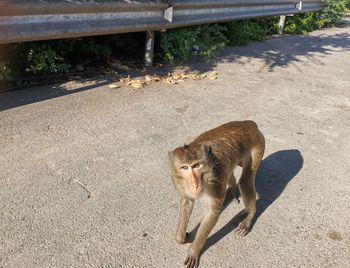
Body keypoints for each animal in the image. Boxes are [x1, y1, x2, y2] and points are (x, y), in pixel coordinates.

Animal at [168, 121, 264, 268]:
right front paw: (182, 237)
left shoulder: (216, 179)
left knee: (245, 181)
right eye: (184, 168)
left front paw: (194, 250)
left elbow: (212, 212)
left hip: (258, 144)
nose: (194, 184)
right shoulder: (177, 180)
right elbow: (187, 201)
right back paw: (232, 191)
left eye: (196, 166)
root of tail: (248, 123)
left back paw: (249, 215)